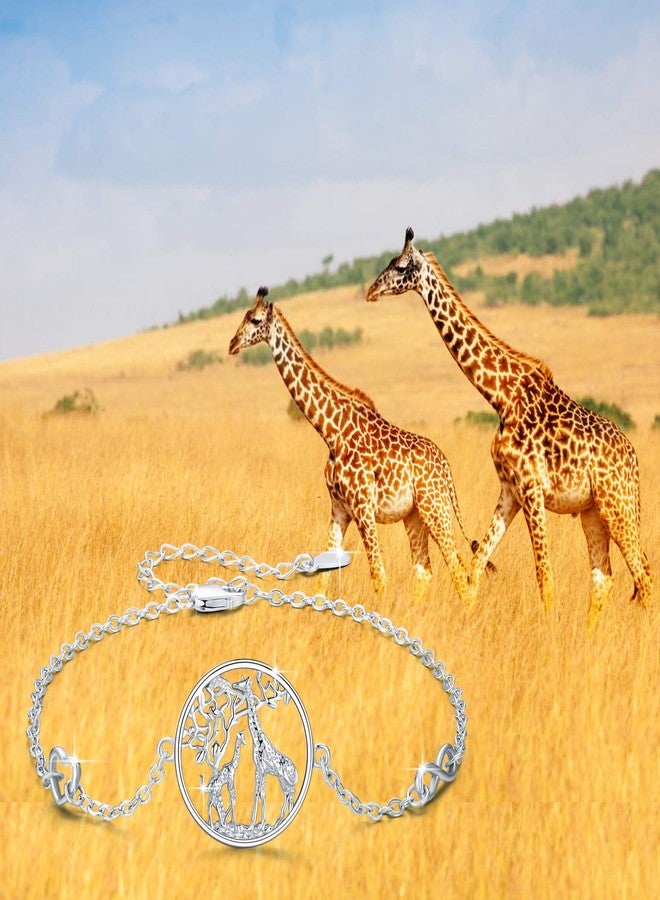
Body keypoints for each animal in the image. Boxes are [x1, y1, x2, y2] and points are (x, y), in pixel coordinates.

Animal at [229, 286, 477, 603]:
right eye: (244, 315)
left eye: (256, 320)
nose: (232, 344)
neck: (332, 432)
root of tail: (446, 466)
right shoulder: (339, 508)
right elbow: (323, 575)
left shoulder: (363, 507)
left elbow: (378, 574)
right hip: (415, 515)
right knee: (425, 571)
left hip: (435, 506)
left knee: (458, 568)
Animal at [232, 676, 298, 827]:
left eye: (242, 683)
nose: (234, 684)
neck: (258, 739)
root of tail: (296, 770)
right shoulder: (262, 770)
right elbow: (262, 792)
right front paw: (261, 823)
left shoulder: (260, 768)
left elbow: (257, 792)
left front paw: (253, 824)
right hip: (283, 779)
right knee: (289, 794)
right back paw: (280, 820)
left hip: (286, 780)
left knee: (289, 794)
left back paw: (281, 820)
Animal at [366, 227, 653, 629]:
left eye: (402, 266)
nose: (371, 290)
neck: (501, 395)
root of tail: (633, 460)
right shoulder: (510, 490)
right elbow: (476, 563)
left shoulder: (531, 488)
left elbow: (543, 575)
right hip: (593, 510)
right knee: (606, 577)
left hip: (618, 503)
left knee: (643, 574)